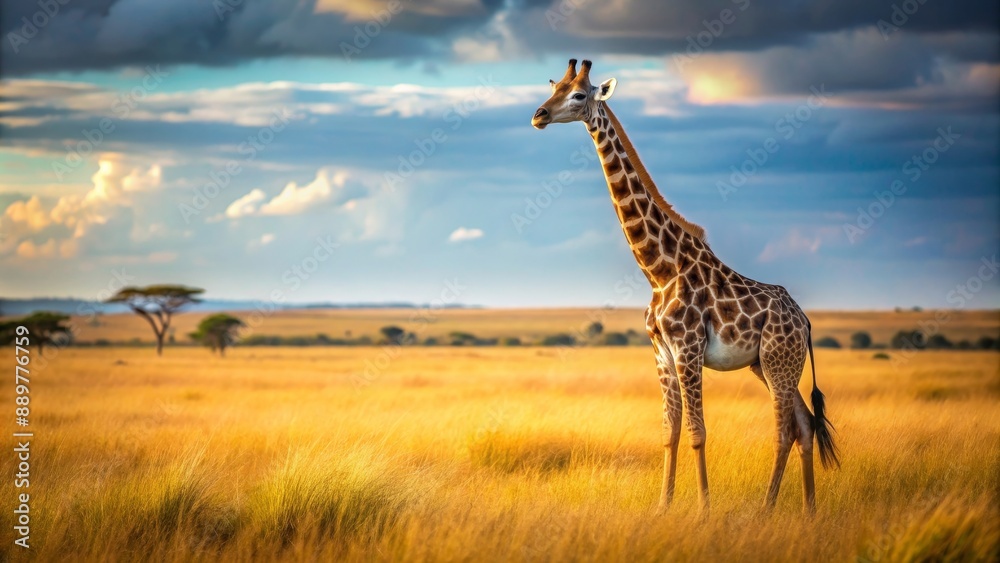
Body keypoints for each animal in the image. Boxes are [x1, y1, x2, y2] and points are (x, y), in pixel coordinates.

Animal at [531, 59, 839, 513]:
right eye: (554, 87)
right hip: (766, 365)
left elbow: (697, 433)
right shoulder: (660, 353)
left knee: (785, 429)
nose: (539, 116)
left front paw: (703, 510)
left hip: (779, 361)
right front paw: (664, 506)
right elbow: (669, 433)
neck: (660, 269)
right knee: (804, 424)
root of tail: (805, 321)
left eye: (579, 95)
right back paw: (809, 510)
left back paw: (768, 509)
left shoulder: (688, 349)